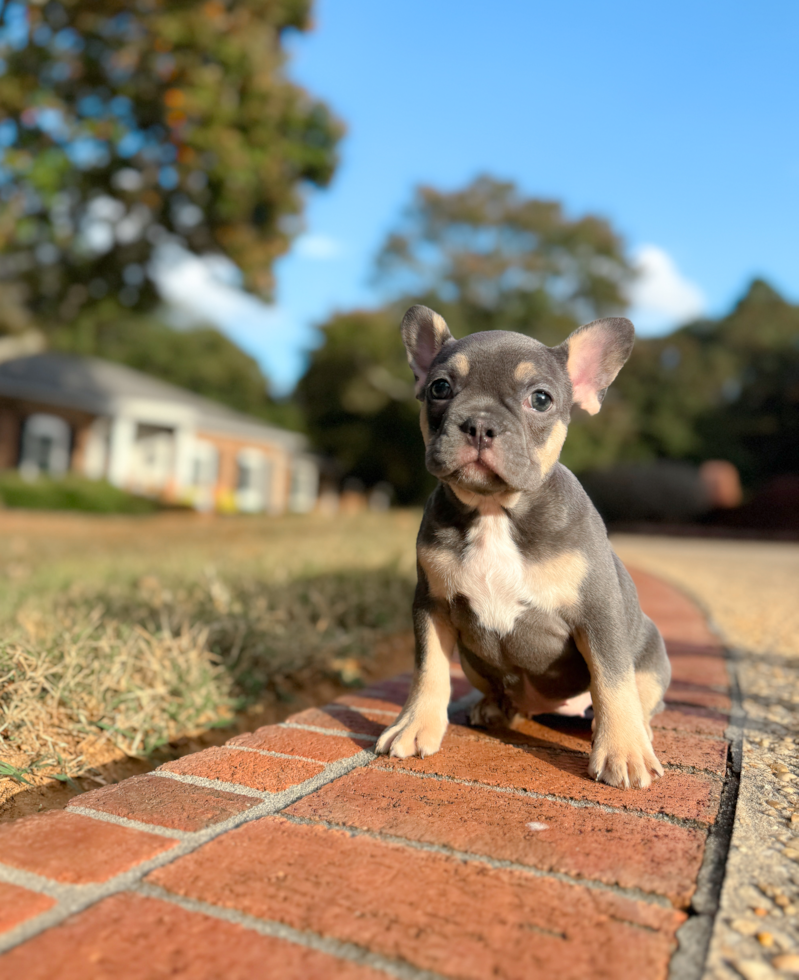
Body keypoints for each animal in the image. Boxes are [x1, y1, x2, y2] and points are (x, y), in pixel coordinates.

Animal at [374, 306, 668, 788]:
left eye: (541, 399)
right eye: (440, 388)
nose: (479, 423)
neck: (495, 511)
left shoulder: (598, 611)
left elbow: (612, 679)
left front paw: (623, 751)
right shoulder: (431, 604)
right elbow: (429, 669)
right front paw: (414, 725)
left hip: (652, 654)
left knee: (635, 694)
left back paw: (633, 730)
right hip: (475, 665)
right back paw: (495, 708)